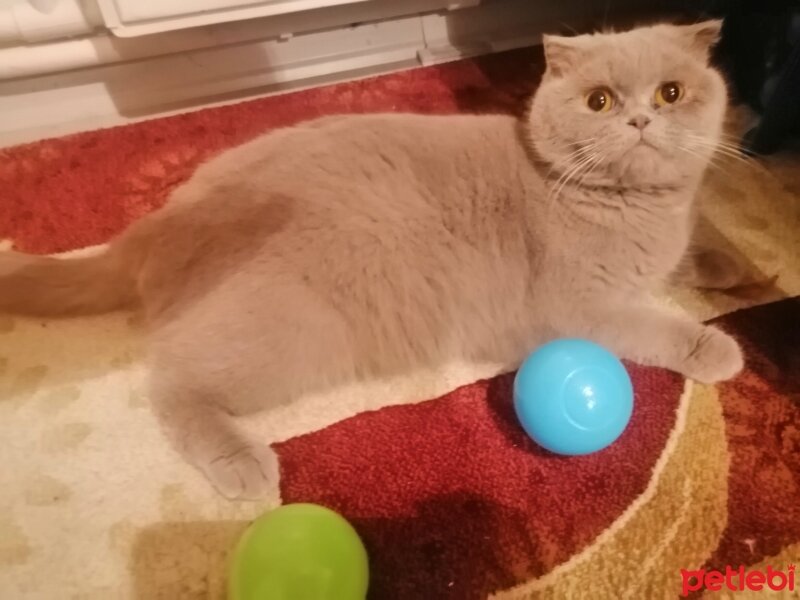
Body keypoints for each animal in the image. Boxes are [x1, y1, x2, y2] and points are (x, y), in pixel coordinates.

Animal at [3, 21, 748, 500]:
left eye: (671, 93)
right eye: (600, 101)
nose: (641, 121)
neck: (639, 209)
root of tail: (155, 224)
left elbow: (691, 261)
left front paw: (737, 269)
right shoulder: (581, 307)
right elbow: (657, 326)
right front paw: (717, 347)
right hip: (290, 331)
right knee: (169, 384)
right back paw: (243, 466)